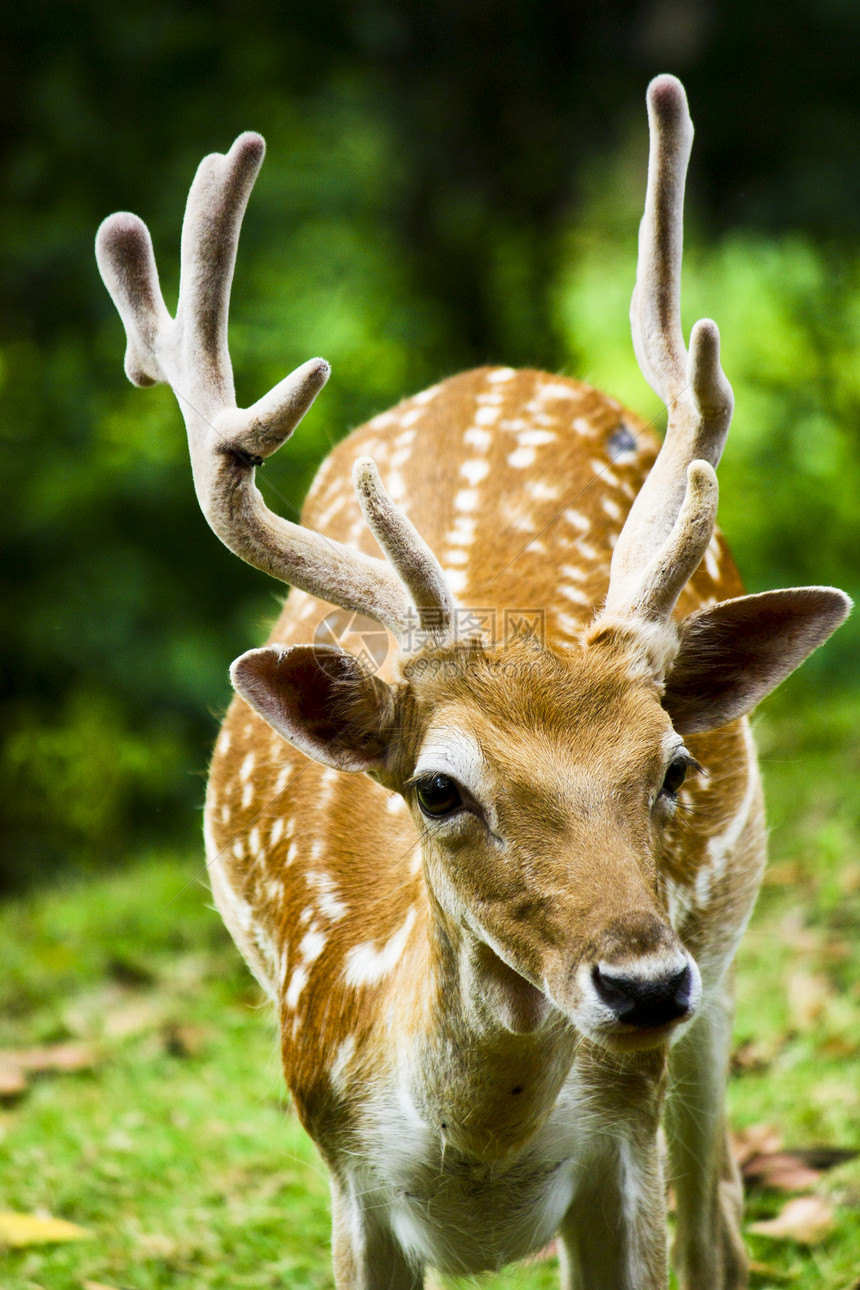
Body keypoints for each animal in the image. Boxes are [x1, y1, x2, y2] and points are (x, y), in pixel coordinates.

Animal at [97, 75, 850, 1284]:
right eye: (438, 789)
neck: (478, 1159)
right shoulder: (346, 1174)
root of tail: (494, 368)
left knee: (720, 1214)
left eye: (671, 767)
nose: (642, 985)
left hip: (727, 937)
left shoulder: (621, 1149)